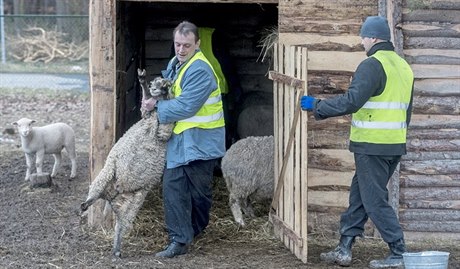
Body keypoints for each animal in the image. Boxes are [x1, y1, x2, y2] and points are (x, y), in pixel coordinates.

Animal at [80, 69, 173, 258]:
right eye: (155, 82)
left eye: (163, 83)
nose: (153, 87)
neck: (154, 116)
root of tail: (113, 194)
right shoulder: (147, 115)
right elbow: (146, 103)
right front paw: (143, 81)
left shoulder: (165, 129)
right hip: (105, 174)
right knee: (94, 196)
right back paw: (86, 205)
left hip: (132, 202)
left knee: (120, 225)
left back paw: (116, 249)